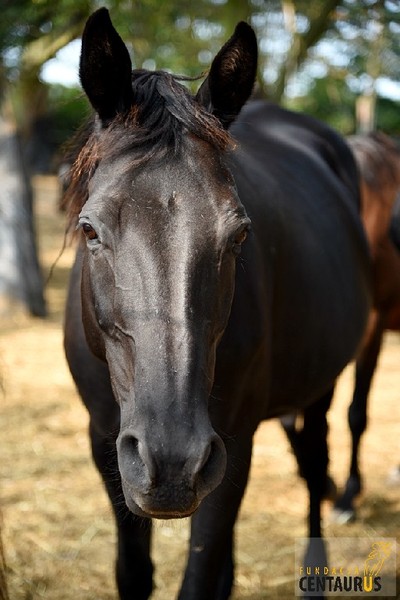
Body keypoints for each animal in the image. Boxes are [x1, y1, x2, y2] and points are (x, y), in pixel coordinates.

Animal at [63, 9, 372, 600]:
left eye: (239, 234)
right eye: (90, 229)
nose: (171, 460)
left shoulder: (232, 449)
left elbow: (201, 576)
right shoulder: (104, 445)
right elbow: (133, 573)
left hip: (318, 386)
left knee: (315, 459)